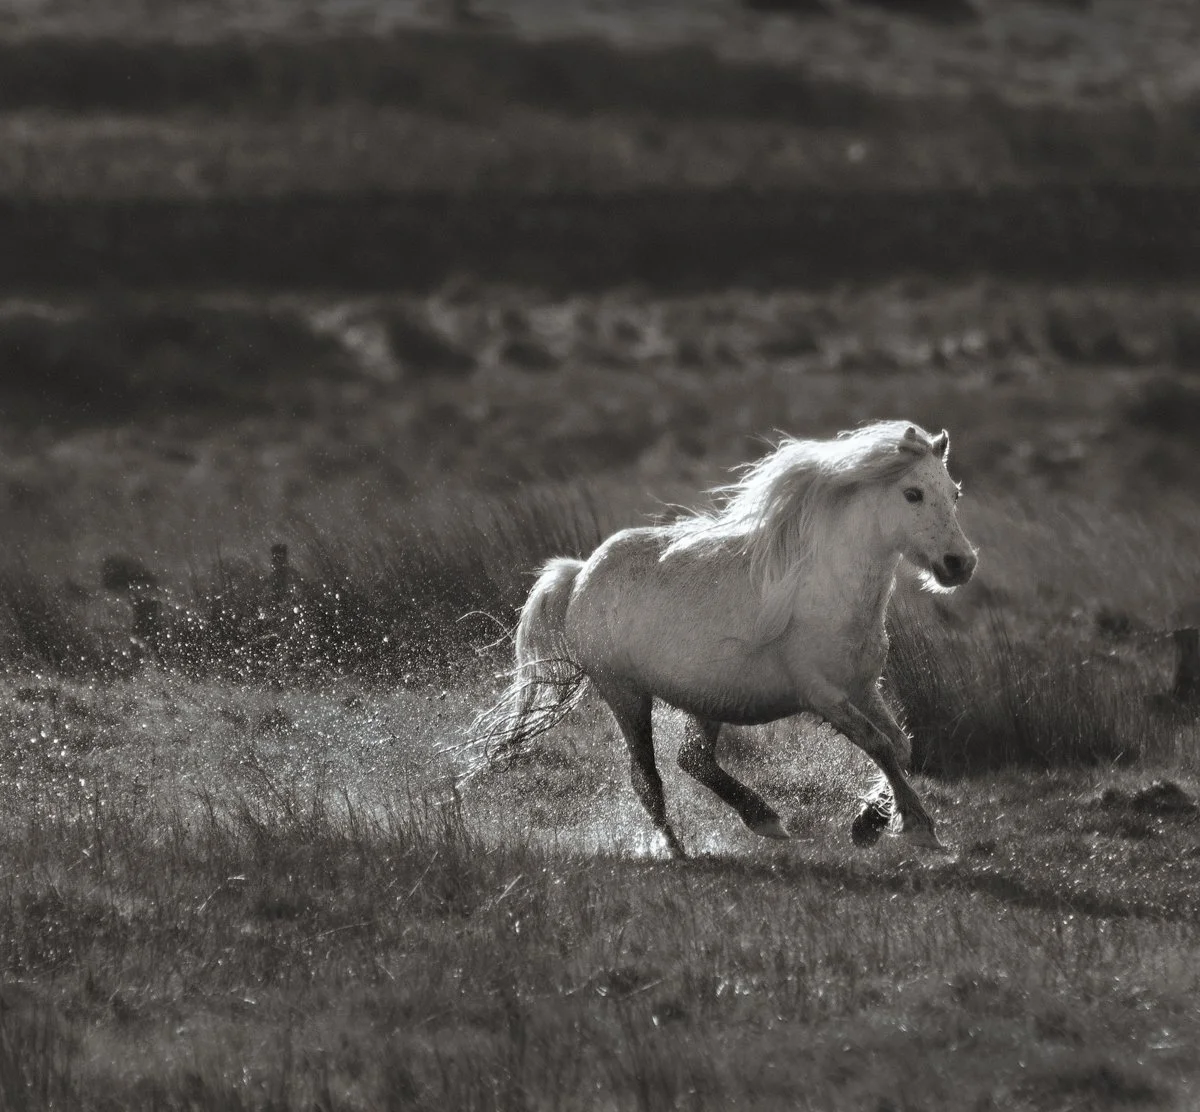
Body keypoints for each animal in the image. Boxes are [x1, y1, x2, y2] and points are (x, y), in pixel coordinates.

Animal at [470, 421, 977, 858]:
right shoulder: (823, 695)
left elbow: (901, 747)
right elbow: (879, 746)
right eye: (913, 494)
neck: (829, 593)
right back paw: (676, 849)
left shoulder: (862, 688)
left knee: (692, 759)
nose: (960, 564)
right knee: (646, 776)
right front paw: (918, 829)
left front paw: (870, 823)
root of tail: (579, 575)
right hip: (624, 693)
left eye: (954, 494)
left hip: (705, 698)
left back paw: (763, 819)